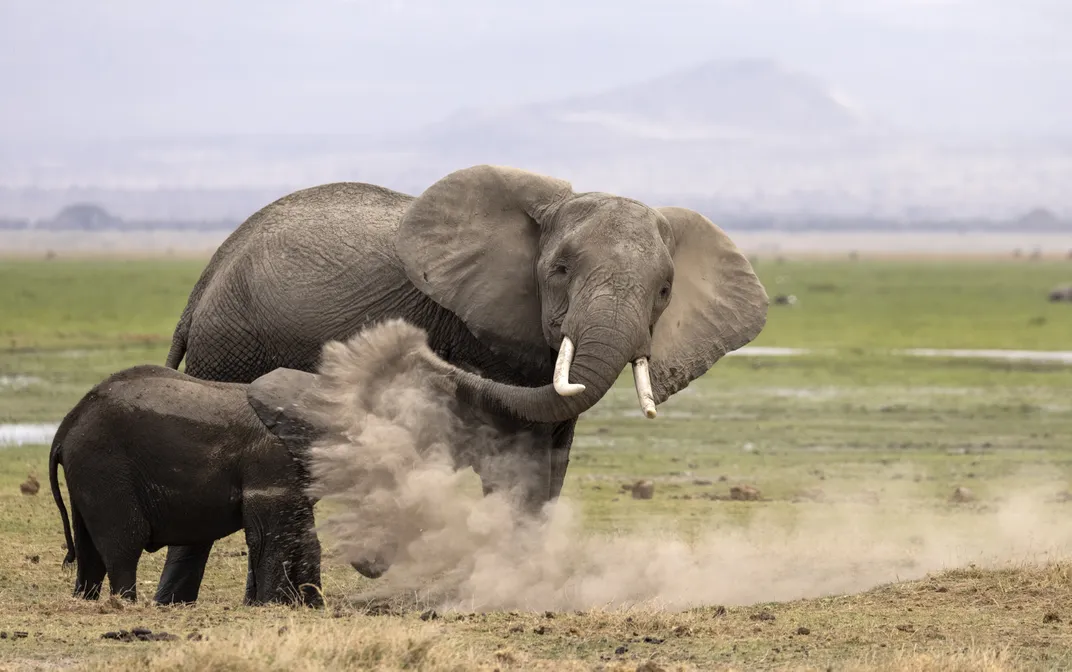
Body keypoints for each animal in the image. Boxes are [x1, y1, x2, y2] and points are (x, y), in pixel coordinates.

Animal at [48, 363, 328, 607]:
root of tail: (67, 424)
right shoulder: (271, 460)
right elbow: (269, 536)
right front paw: (270, 605)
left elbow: (304, 534)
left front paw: (311, 605)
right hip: (103, 464)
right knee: (123, 545)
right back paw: (125, 604)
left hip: (87, 472)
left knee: (88, 551)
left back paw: (85, 601)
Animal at [154, 163, 769, 604]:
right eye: (559, 271)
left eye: (664, 290)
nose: (407, 351)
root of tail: (208, 274)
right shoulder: (484, 329)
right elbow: (514, 448)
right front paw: (509, 588)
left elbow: (553, 455)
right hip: (227, 346)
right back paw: (174, 605)